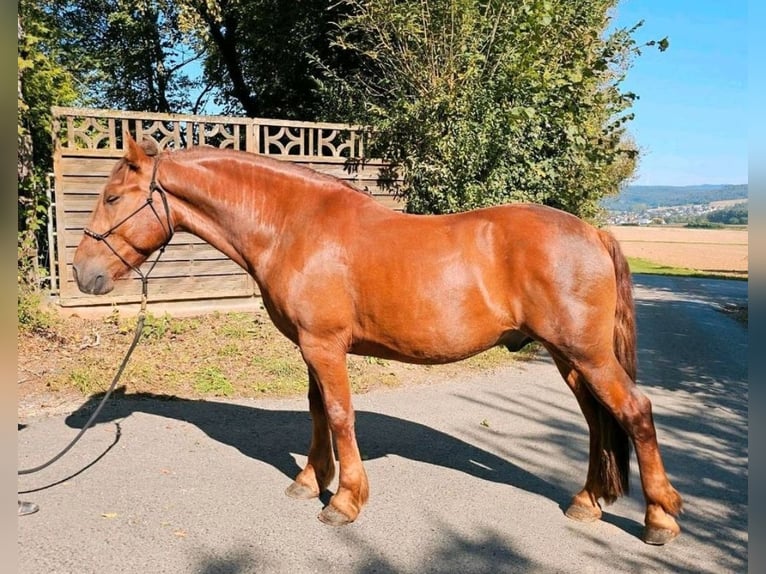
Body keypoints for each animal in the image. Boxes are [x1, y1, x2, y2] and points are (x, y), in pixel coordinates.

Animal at [72, 135, 684, 544]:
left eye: (112, 197)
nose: (83, 274)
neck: (294, 226)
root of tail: (593, 232)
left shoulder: (324, 346)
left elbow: (341, 415)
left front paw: (343, 501)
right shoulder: (310, 347)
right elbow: (317, 411)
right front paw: (308, 481)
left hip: (587, 355)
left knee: (635, 412)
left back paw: (659, 519)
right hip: (569, 357)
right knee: (598, 422)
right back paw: (587, 503)